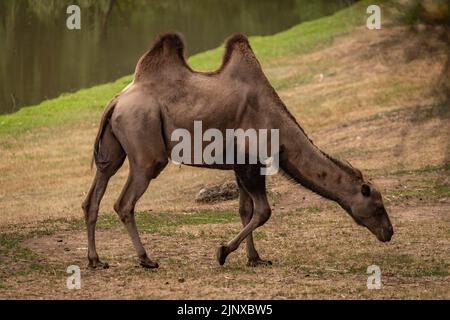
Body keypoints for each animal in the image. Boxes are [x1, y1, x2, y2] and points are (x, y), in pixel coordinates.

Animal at [81, 32, 394, 268]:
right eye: (378, 205)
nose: (389, 232)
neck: (279, 129)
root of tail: (116, 101)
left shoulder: (239, 163)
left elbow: (245, 210)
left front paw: (254, 258)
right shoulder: (251, 161)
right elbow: (263, 211)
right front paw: (222, 252)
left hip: (113, 148)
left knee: (94, 194)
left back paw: (96, 260)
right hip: (145, 149)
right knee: (125, 202)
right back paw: (146, 259)